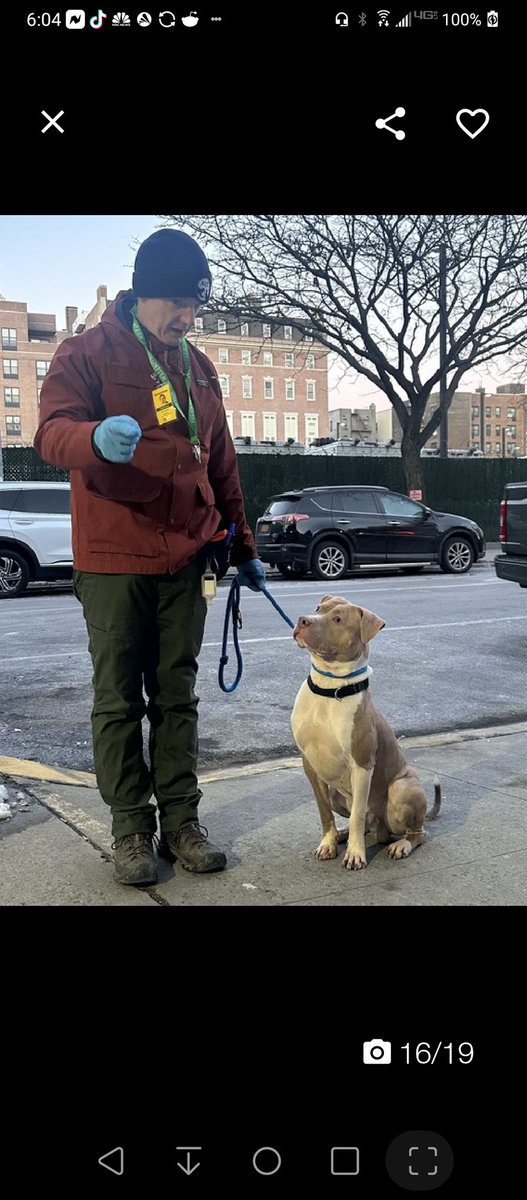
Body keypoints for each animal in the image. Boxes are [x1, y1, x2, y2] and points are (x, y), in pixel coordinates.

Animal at [292, 592, 441, 868]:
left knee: (416, 832)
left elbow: (357, 815)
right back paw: (342, 835)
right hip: (336, 792)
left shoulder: (361, 765)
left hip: (401, 789)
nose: (302, 620)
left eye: (338, 619)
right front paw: (328, 842)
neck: (329, 688)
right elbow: (324, 812)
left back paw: (401, 844)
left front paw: (355, 854)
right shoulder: (310, 765)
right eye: (318, 608)